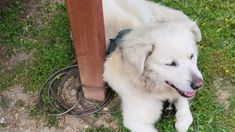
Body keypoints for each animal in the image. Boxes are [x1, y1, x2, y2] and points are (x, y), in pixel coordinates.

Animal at [103, 0, 204, 131]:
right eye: (171, 64)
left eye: (191, 56)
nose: (198, 85)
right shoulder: (135, 121)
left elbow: (186, 116)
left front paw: (181, 120)